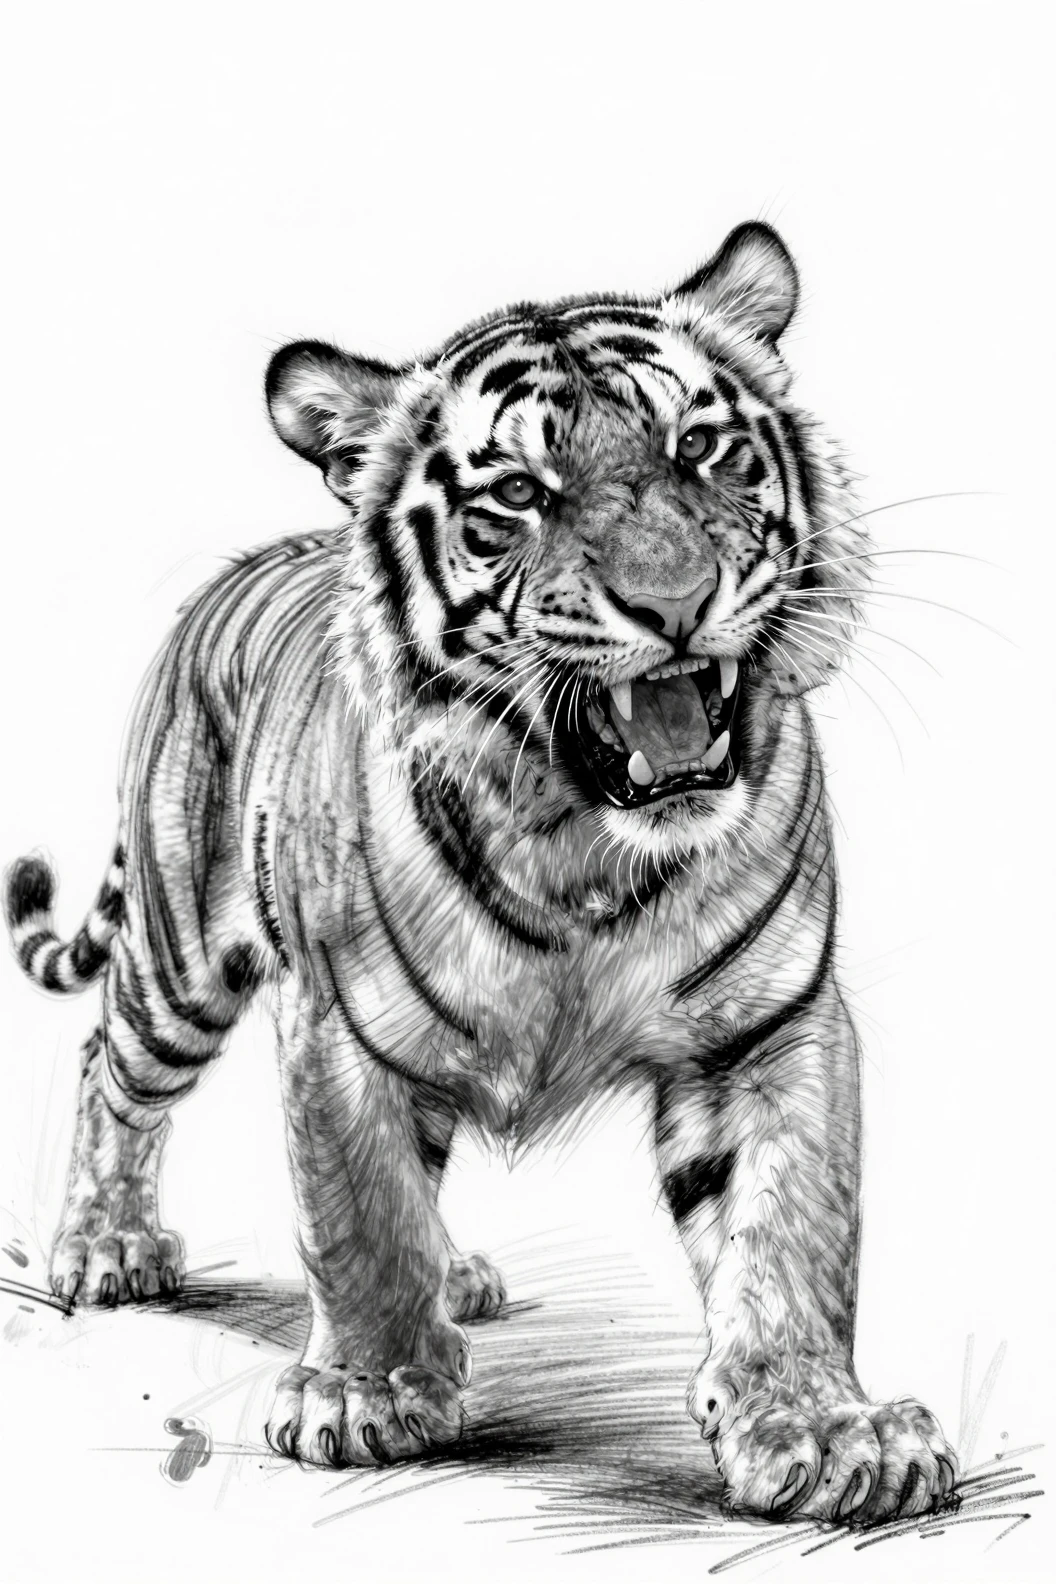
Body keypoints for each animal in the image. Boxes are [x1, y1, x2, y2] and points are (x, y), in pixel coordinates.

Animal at [5, 222, 958, 1524]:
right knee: (111, 1060)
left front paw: (822, 1428)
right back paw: (106, 1247)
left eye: (700, 448)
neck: (582, 845)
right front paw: (368, 1393)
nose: (674, 603)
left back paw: (455, 1276)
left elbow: (789, 1234)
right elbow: (357, 1212)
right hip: (178, 955)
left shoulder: (771, 1028)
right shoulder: (340, 1031)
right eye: (518, 494)